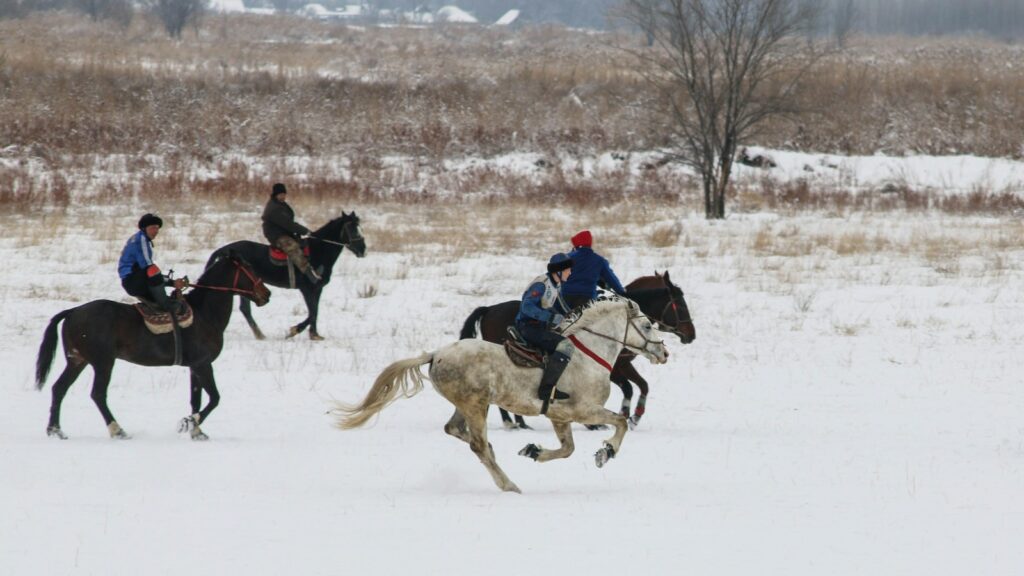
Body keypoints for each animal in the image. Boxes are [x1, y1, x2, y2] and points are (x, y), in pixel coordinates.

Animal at [35, 251, 271, 441]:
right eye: (249, 269)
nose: (266, 294)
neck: (204, 314)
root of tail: (73, 312)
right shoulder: (203, 364)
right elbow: (214, 398)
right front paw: (187, 423)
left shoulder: (194, 367)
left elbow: (196, 399)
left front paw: (196, 431)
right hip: (103, 362)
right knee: (98, 394)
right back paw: (117, 430)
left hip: (77, 360)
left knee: (59, 388)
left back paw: (55, 430)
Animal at [206, 212, 366, 341]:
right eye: (351, 228)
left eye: (359, 227)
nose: (363, 250)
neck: (318, 252)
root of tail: (224, 250)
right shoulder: (307, 289)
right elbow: (313, 312)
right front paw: (295, 331)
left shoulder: (317, 289)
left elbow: (315, 311)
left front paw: (314, 334)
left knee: (245, 309)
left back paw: (260, 335)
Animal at [333, 296, 669, 493]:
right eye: (647, 325)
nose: (664, 352)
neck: (589, 354)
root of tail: (436, 354)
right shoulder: (582, 410)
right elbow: (621, 422)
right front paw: (606, 452)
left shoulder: (559, 416)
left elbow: (567, 449)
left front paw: (533, 451)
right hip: (475, 405)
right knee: (477, 445)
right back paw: (509, 485)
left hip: (468, 405)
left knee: (456, 430)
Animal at [459, 271, 695, 429]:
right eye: (681, 305)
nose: (691, 335)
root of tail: (489, 309)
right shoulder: (617, 370)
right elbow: (631, 387)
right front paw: (622, 416)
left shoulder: (620, 367)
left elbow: (641, 386)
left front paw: (631, 416)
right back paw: (514, 423)